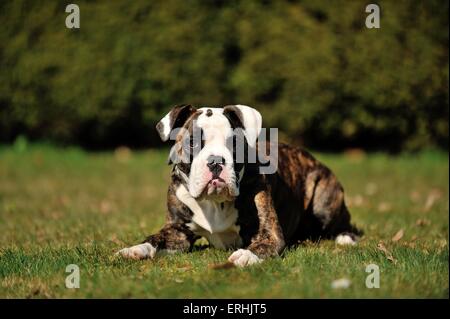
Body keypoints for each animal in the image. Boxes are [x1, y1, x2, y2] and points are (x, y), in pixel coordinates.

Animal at [117, 105, 362, 268]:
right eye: (192, 143)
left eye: (233, 143)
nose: (216, 161)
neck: (214, 203)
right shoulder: (176, 231)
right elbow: (155, 239)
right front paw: (134, 249)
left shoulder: (268, 232)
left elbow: (262, 244)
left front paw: (246, 255)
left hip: (323, 200)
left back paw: (345, 237)